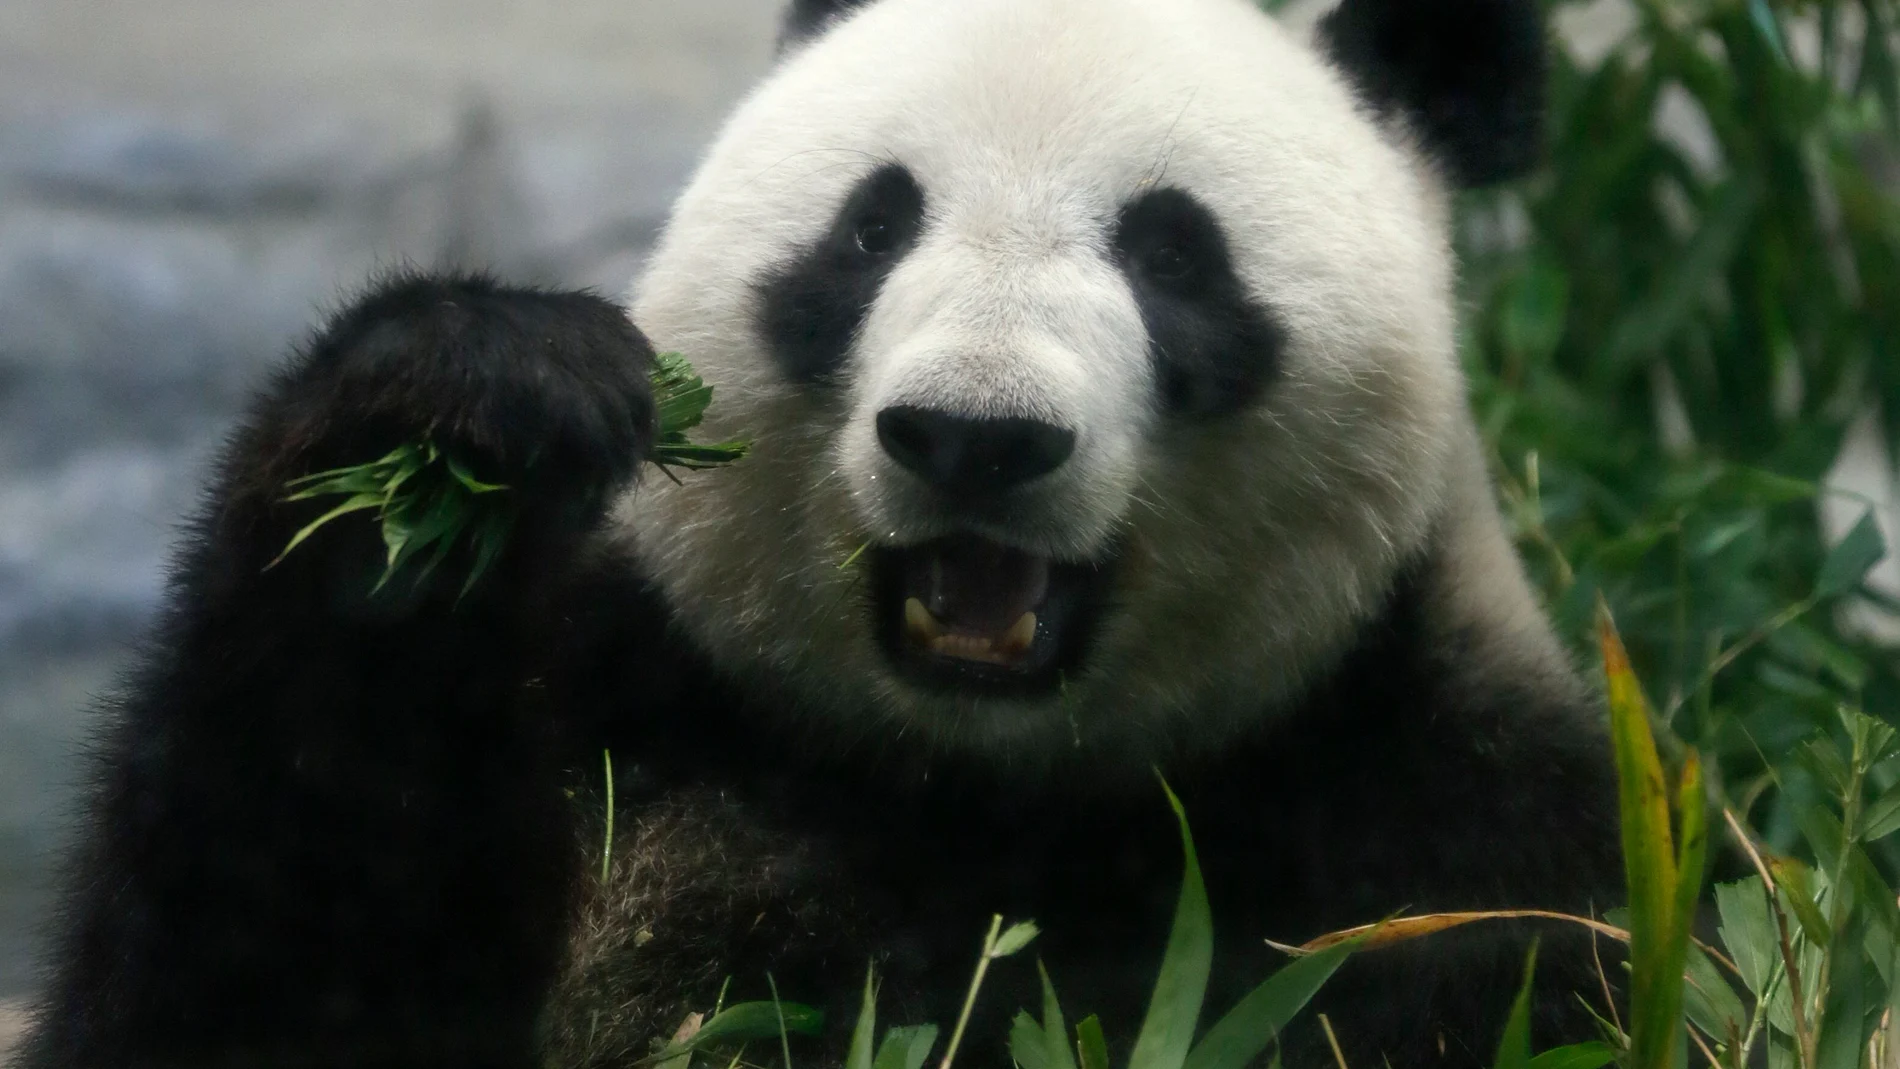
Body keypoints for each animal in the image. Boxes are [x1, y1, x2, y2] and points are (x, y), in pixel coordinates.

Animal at [19, 0, 1624, 1066]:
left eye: (1174, 252)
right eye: (873, 227)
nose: (975, 435)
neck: (968, 779)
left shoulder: (1452, 842)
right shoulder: (629, 702)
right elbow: (243, 975)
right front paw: (455, 428)